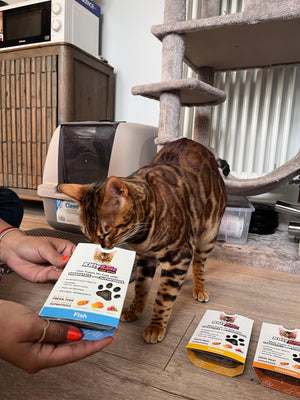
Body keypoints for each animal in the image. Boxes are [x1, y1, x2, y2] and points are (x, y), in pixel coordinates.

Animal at [59, 138, 226, 344]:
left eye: (106, 233)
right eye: (87, 234)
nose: (103, 249)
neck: (140, 235)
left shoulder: (177, 257)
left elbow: (164, 297)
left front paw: (156, 326)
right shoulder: (145, 258)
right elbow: (140, 287)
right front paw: (134, 310)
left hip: (209, 233)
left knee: (199, 263)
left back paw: (200, 288)